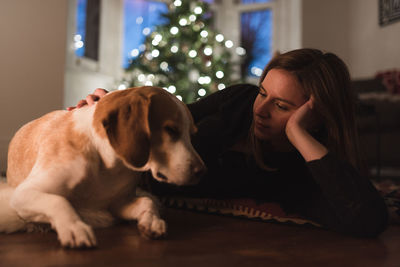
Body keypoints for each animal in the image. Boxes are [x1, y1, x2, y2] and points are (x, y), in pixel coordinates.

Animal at [0, 87, 205, 249]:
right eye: (171, 130)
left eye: (192, 135)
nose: (202, 172)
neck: (107, 164)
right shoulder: (23, 193)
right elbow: (59, 201)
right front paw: (74, 227)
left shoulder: (117, 205)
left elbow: (148, 202)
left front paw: (152, 221)